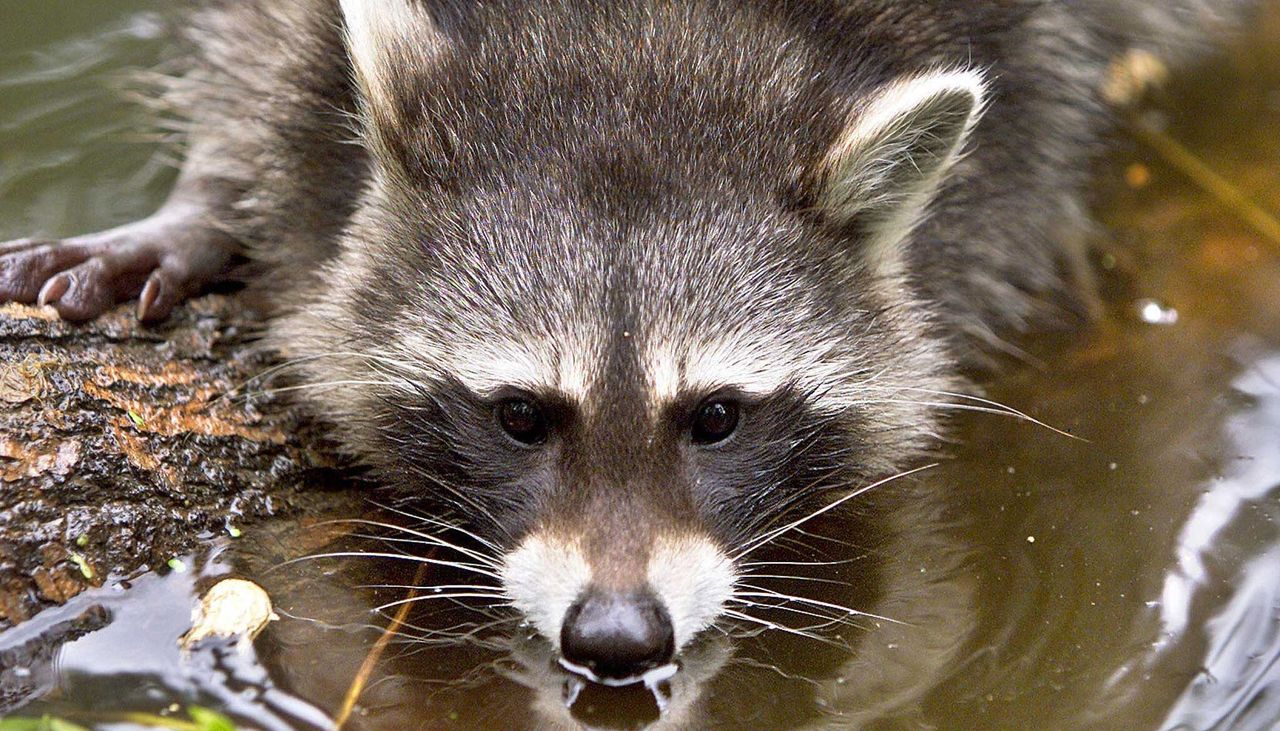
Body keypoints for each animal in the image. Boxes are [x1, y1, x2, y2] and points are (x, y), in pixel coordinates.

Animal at [0, 0, 1259, 686]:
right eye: (519, 413)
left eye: (716, 416)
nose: (614, 637)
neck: (640, 49)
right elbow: (257, 68)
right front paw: (204, 201)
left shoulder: (1028, 70)